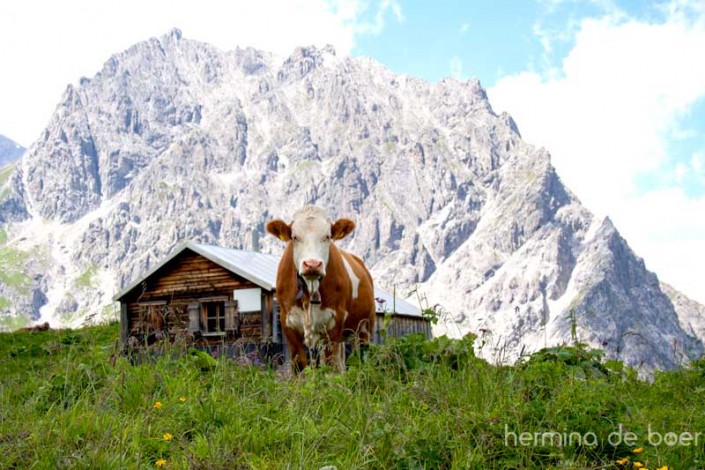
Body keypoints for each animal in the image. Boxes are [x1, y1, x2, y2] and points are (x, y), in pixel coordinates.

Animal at [264, 205, 374, 370]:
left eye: (327, 236)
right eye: (294, 237)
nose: (312, 264)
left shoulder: (334, 321)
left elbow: (328, 365)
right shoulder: (287, 322)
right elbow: (300, 365)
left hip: (364, 328)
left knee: (361, 358)